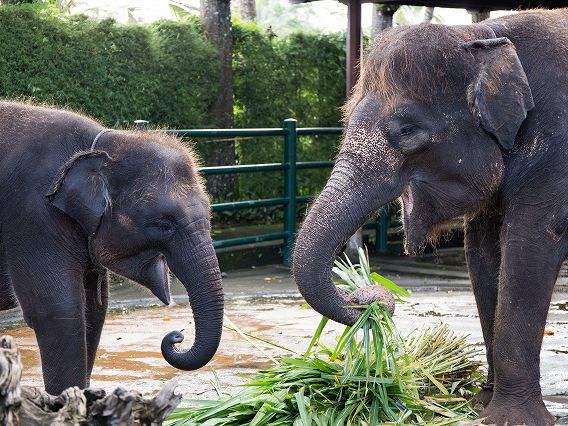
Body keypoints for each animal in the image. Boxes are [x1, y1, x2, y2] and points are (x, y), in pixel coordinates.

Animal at [0, 101, 224, 396]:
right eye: (164, 224)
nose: (177, 335)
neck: (103, 146)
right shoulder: (32, 217)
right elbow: (59, 309)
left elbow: (95, 309)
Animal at [292, 9, 568, 426]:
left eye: (407, 130)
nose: (372, 298)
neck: (482, 36)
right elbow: (481, 251)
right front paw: (480, 404)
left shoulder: (556, 151)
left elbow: (529, 245)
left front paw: (510, 419)